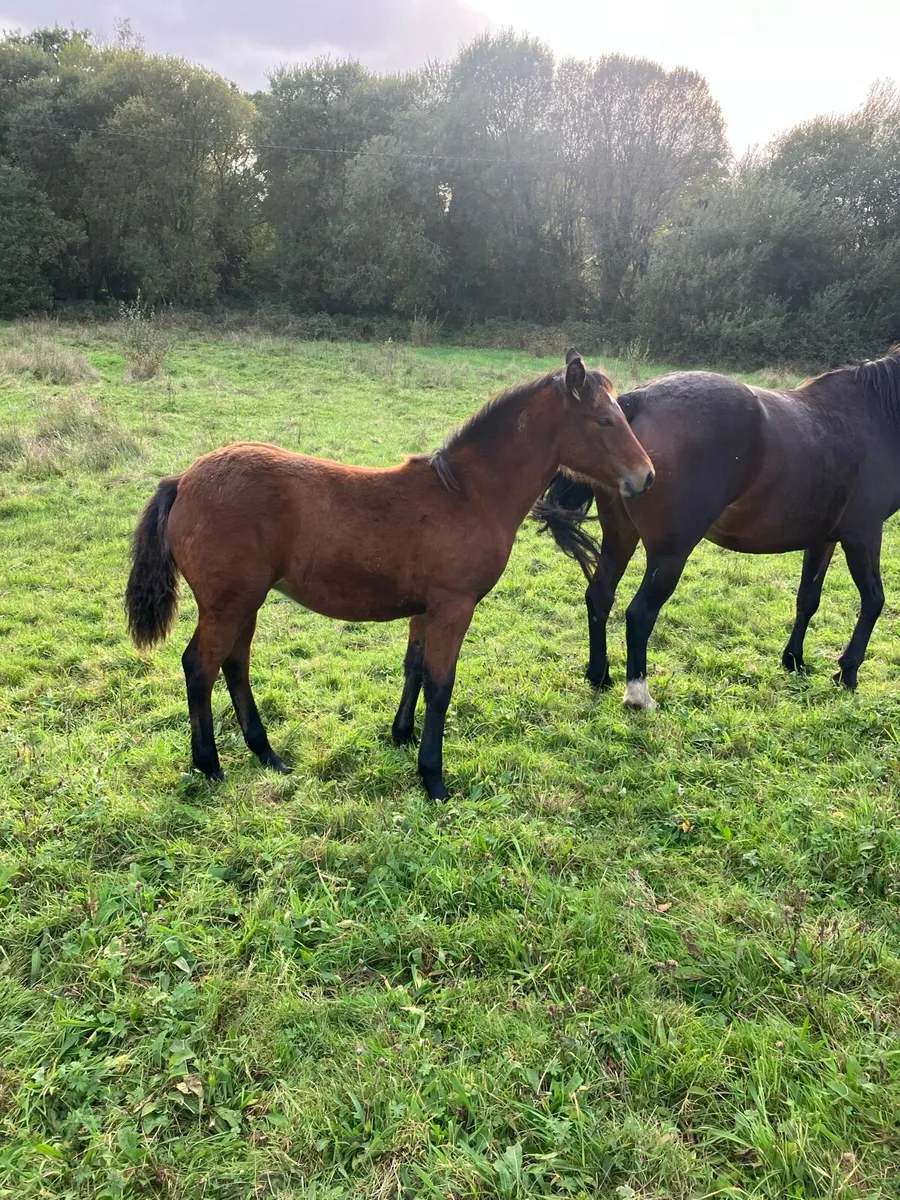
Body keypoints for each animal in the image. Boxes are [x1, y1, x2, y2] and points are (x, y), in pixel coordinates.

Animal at [124, 349, 655, 799]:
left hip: (245, 602)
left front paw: (401, 736)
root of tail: (182, 481)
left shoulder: (426, 608)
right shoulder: (454, 606)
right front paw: (433, 777)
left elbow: (414, 667)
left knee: (235, 664)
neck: (468, 495)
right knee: (200, 666)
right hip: (227, 604)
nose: (647, 477)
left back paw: (266, 753)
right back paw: (209, 765)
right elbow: (441, 684)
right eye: (604, 420)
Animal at [536, 349, 900, 709]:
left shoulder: (823, 538)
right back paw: (638, 695)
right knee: (640, 614)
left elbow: (808, 599)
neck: (872, 412)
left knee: (600, 595)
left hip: (620, 537)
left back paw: (599, 675)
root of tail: (637, 399)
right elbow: (873, 600)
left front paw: (793, 660)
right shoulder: (864, 534)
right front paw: (848, 672)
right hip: (671, 553)